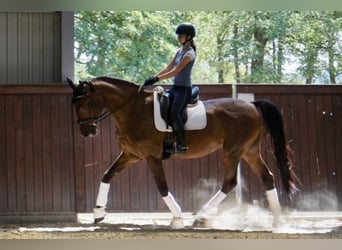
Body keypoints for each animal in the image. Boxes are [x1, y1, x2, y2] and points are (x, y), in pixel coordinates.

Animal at [67, 76, 296, 229]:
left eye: (84, 103)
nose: (87, 131)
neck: (133, 110)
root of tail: (252, 104)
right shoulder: (131, 156)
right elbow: (106, 176)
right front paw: (98, 212)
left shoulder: (152, 157)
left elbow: (162, 188)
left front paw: (177, 218)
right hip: (249, 151)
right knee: (267, 177)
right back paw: (276, 220)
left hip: (233, 151)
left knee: (230, 183)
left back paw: (201, 216)